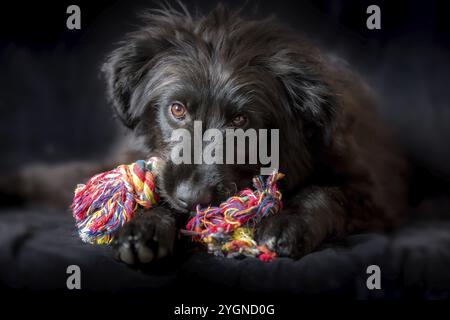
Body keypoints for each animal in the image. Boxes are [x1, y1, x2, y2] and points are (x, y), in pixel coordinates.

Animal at [100, 5, 410, 264]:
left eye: (241, 119)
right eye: (177, 109)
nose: (192, 198)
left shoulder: (373, 194)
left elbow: (325, 192)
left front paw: (287, 224)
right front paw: (146, 226)